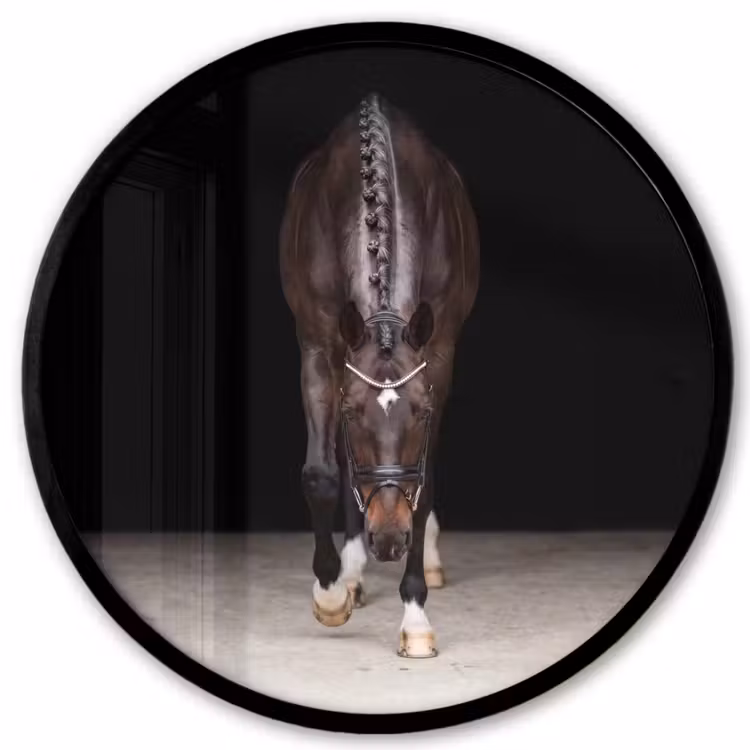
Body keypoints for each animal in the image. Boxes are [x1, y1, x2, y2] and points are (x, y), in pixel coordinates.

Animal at [279, 93, 479, 657]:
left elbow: (423, 482)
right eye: (351, 413)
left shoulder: (439, 354)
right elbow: (323, 473)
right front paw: (330, 593)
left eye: (423, 413)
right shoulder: (318, 347)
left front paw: (415, 618)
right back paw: (351, 574)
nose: (389, 539)